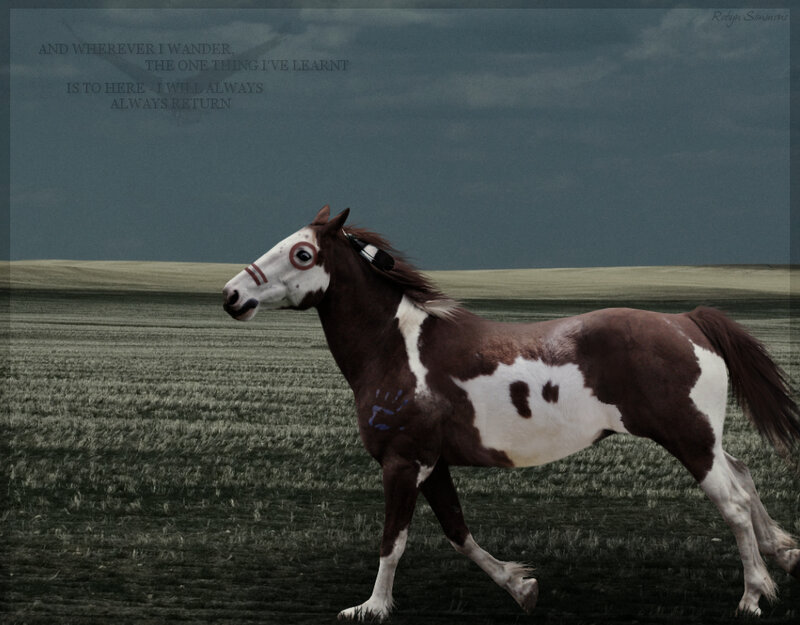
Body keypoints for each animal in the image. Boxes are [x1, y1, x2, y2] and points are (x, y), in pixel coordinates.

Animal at [222, 206, 800, 622]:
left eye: (302, 254)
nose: (231, 294)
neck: (395, 349)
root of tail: (687, 321)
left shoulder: (402, 462)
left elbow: (394, 539)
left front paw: (371, 608)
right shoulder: (433, 463)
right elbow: (457, 532)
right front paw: (521, 587)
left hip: (689, 440)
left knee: (732, 502)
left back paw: (752, 596)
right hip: (705, 439)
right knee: (745, 477)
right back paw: (782, 557)